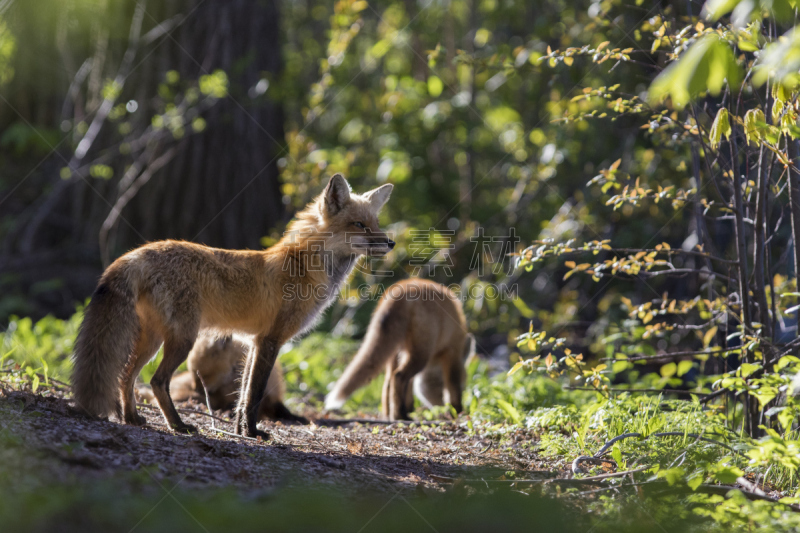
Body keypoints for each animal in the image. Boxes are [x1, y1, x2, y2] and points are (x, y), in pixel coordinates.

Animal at [138, 332, 306, 424]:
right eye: (195, 375)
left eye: (202, 377)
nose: (198, 390)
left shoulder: (271, 398)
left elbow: (283, 411)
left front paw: (298, 418)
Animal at [324, 278, 476, 420]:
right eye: (464, 385)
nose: (442, 409)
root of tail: (402, 290)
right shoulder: (453, 351)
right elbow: (453, 385)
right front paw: (458, 411)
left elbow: (409, 387)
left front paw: (408, 407)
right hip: (419, 353)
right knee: (399, 376)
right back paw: (399, 416)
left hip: (395, 352)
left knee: (388, 383)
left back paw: (389, 414)